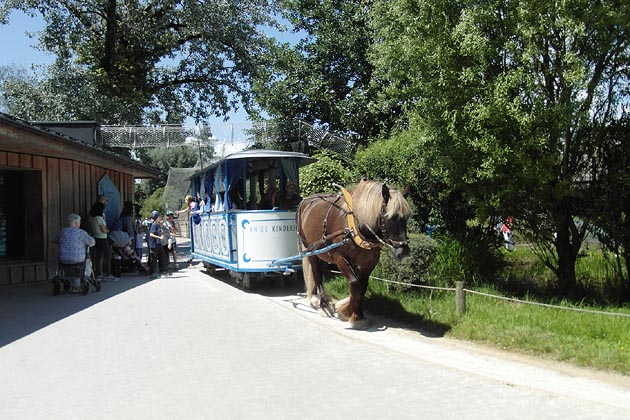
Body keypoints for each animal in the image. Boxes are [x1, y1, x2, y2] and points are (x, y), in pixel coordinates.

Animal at [298, 179, 414, 330]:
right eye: (389, 216)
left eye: (406, 217)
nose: (404, 253)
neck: (357, 226)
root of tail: (306, 200)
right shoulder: (339, 257)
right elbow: (354, 283)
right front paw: (351, 314)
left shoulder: (369, 262)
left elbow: (362, 286)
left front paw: (355, 313)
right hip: (311, 249)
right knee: (316, 273)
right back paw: (322, 303)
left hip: (323, 252)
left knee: (321, 271)